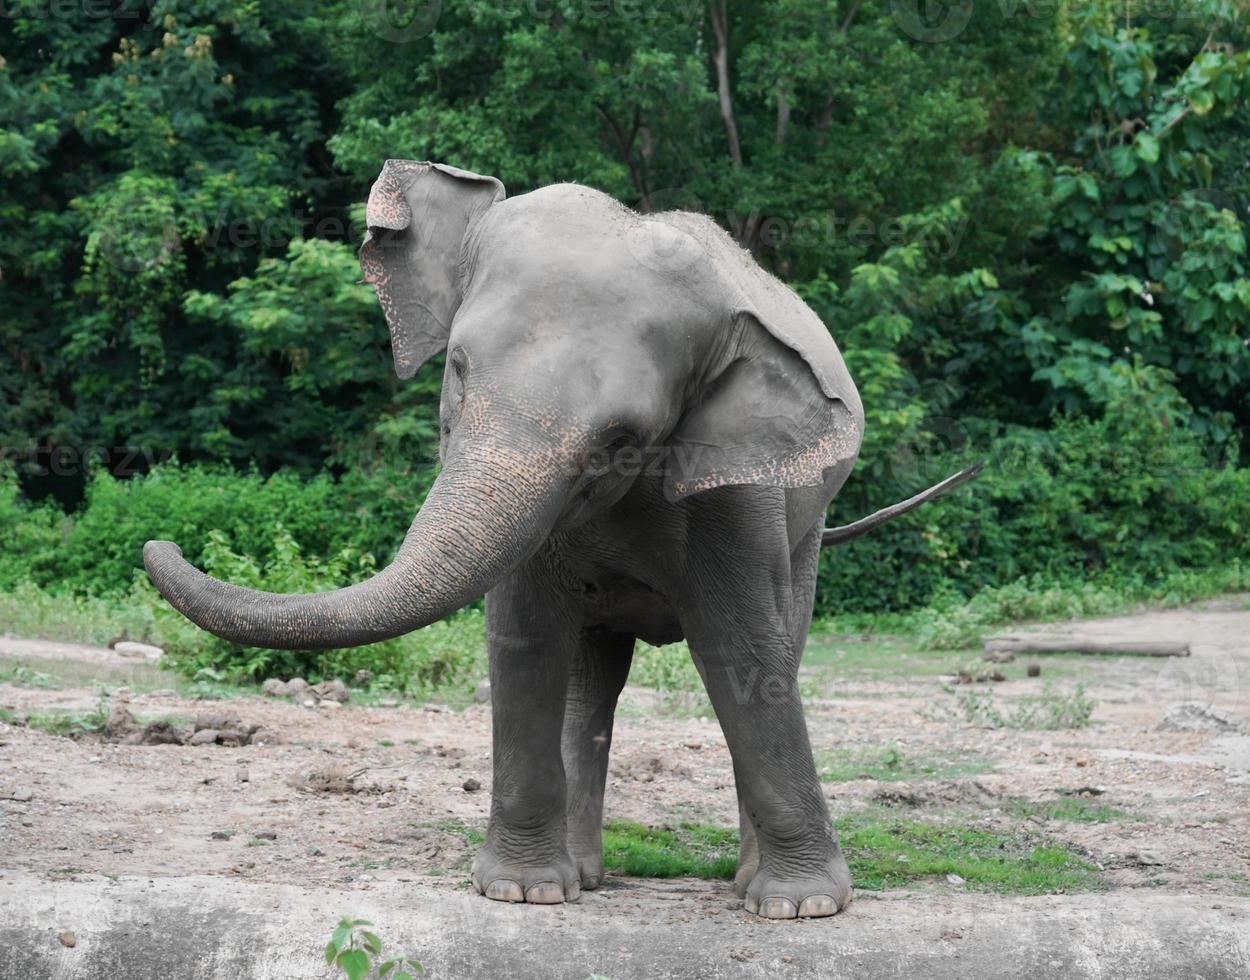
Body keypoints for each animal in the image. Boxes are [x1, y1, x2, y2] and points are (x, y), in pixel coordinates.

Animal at [143, 161, 975, 920]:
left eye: (621, 437)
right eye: (457, 369)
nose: (160, 544)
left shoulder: (738, 491)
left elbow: (740, 650)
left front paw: (802, 907)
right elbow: (525, 636)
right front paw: (525, 893)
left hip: (805, 531)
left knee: (782, 643)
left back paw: (742, 881)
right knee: (589, 679)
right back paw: (584, 875)